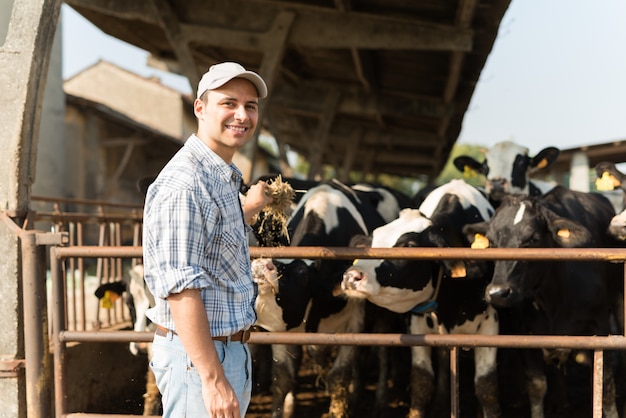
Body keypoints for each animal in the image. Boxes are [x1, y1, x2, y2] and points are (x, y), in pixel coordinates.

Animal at [338, 180, 500, 418]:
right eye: (374, 239)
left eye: (409, 246)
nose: (351, 275)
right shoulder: (417, 324)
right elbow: (421, 382)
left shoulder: (491, 324)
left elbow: (487, 388)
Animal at [460, 186, 616, 418]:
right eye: (493, 242)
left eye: (532, 240)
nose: (497, 292)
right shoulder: (524, 332)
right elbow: (537, 385)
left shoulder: (600, 327)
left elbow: (605, 387)